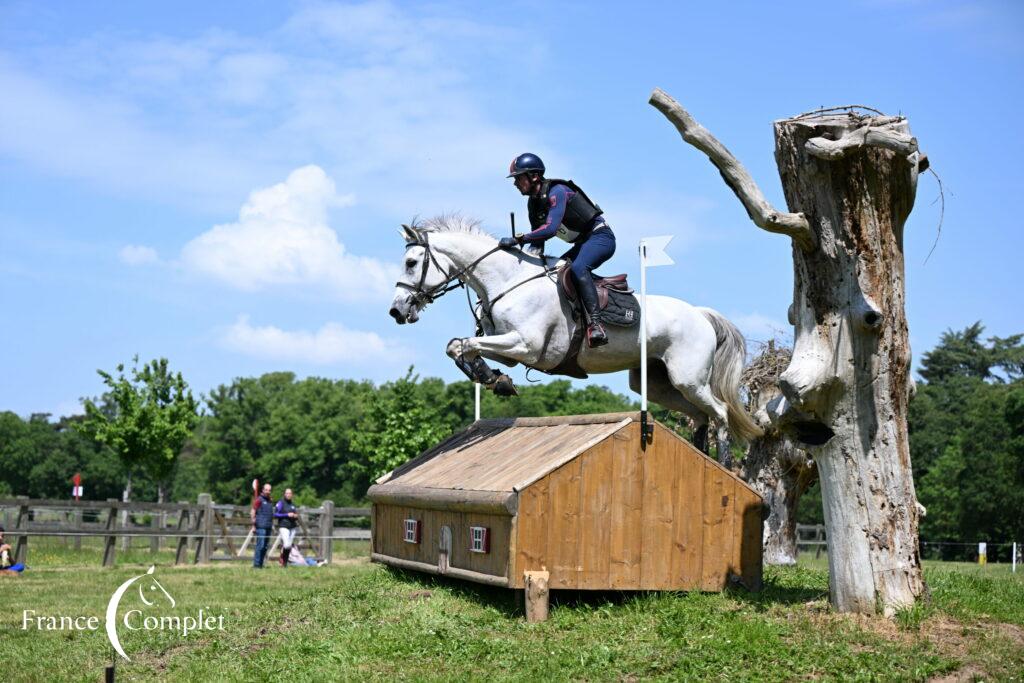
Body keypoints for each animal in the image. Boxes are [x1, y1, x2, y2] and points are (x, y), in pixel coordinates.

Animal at [385, 216, 761, 456]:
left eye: (411, 263)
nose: (397, 311)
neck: (509, 282)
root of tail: (701, 314)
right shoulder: (510, 349)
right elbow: (458, 345)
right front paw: (494, 378)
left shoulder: (527, 346)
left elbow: (467, 344)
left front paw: (490, 378)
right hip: (655, 383)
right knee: (700, 416)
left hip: (688, 378)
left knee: (720, 413)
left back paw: (724, 463)